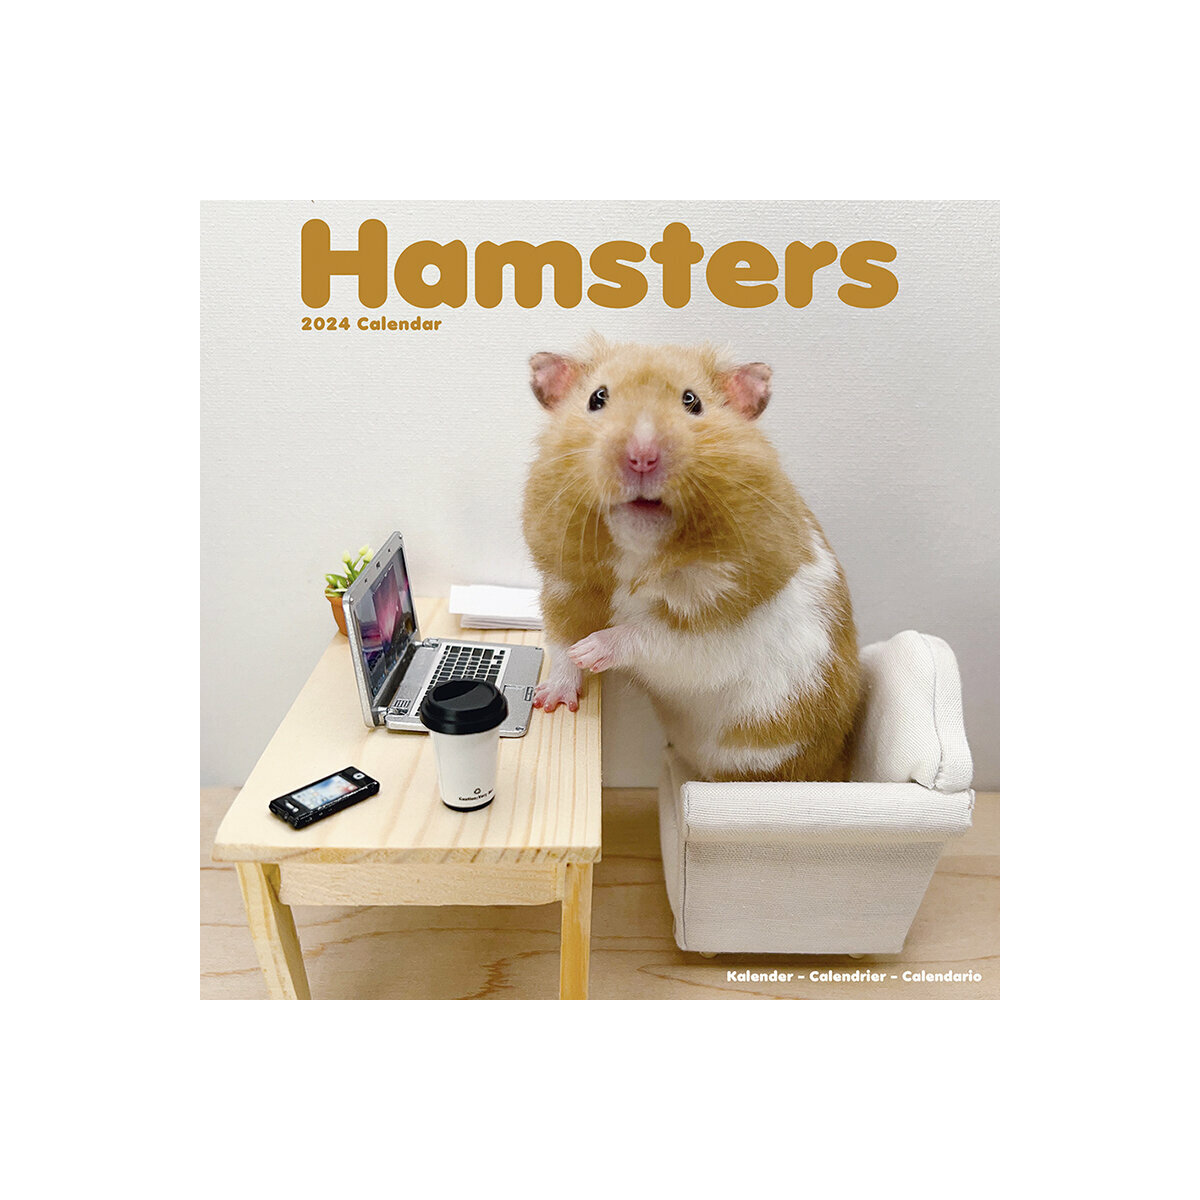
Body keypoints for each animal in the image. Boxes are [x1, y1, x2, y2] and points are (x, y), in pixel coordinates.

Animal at [522, 336, 860, 783]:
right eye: (597, 398)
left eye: (692, 401)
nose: (642, 457)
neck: (638, 551)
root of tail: (832, 762)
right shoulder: (567, 586)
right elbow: (560, 643)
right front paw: (552, 700)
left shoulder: (710, 634)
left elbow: (647, 636)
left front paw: (591, 651)